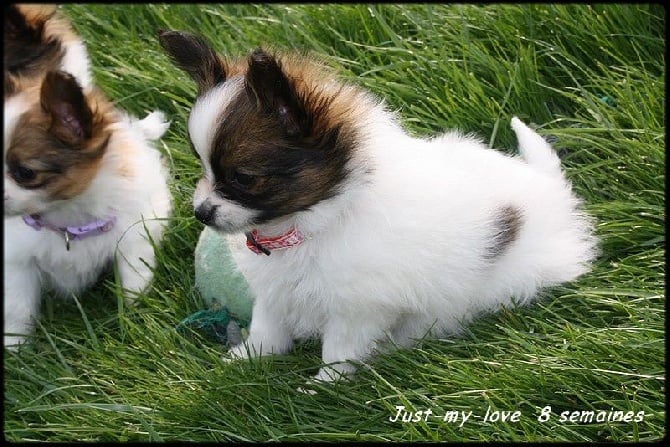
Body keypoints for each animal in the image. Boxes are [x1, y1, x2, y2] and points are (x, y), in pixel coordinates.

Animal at [3, 7, 172, 350]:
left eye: (25, 173)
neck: (66, 217)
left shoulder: (132, 236)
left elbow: (134, 282)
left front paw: (136, 323)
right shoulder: (17, 261)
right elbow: (17, 307)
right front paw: (16, 350)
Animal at [161, 29, 600, 384]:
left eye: (243, 178)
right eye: (201, 164)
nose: (201, 212)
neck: (316, 220)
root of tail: (548, 187)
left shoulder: (357, 306)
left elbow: (339, 348)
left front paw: (325, 386)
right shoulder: (276, 292)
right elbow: (268, 329)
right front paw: (249, 359)